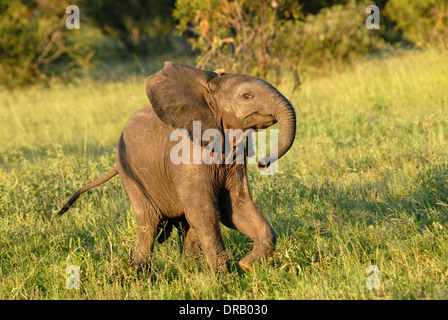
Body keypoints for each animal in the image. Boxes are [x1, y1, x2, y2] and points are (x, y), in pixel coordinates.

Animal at [57, 62, 296, 272]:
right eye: (247, 96)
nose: (262, 163)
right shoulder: (185, 156)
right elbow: (205, 213)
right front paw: (226, 278)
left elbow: (236, 208)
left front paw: (245, 265)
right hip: (129, 172)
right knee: (149, 221)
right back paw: (139, 276)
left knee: (184, 223)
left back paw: (188, 269)